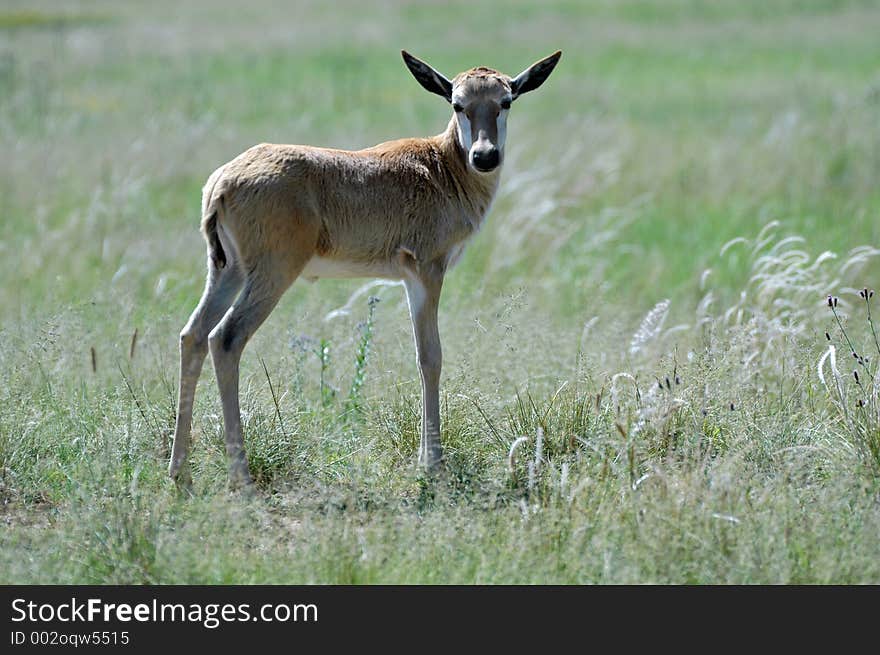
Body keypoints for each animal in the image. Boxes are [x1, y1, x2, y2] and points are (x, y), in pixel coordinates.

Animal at [168, 48, 560, 490]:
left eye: (505, 100)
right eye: (457, 103)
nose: (485, 156)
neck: (440, 166)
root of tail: (223, 181)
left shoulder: (409, 279)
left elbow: (421, 356)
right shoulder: (427, 271)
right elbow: (431, 357)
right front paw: (433, 466)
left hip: (227, 272)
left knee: (193, 335)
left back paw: (179, 471)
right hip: (272, 275)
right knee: (226, 339)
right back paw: (242, 479)